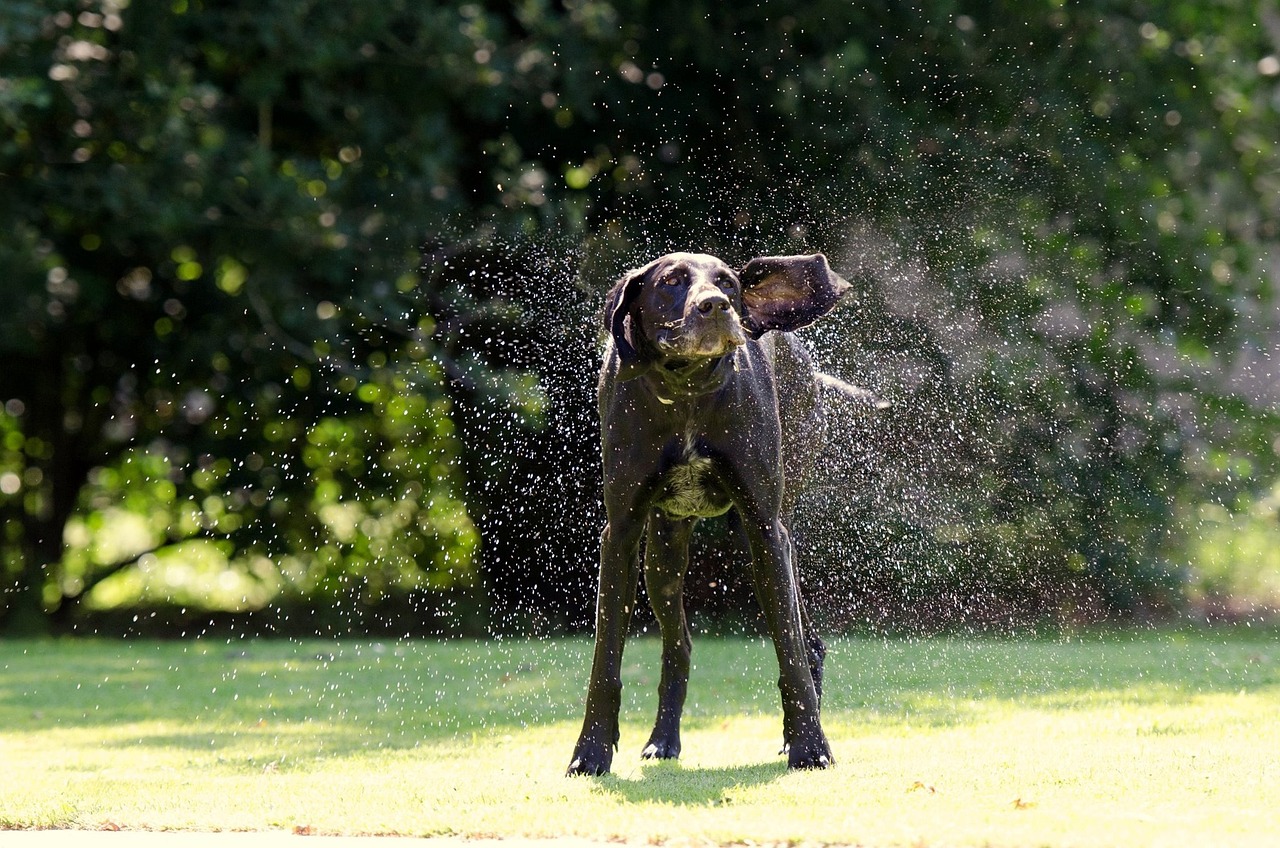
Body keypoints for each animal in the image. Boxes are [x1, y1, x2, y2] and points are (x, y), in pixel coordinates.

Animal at [568, 251, 849, 778]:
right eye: (671, 281)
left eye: (728, 283)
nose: (716, 305)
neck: (688, 389)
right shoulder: (621, 533)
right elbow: (605, 660)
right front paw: (590, 751)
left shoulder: (764, 528)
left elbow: (790, 653)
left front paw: (808, 746)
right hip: (661, 557)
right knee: (678, 648)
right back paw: (663, 740)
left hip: (772, 535)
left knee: (807, 643)